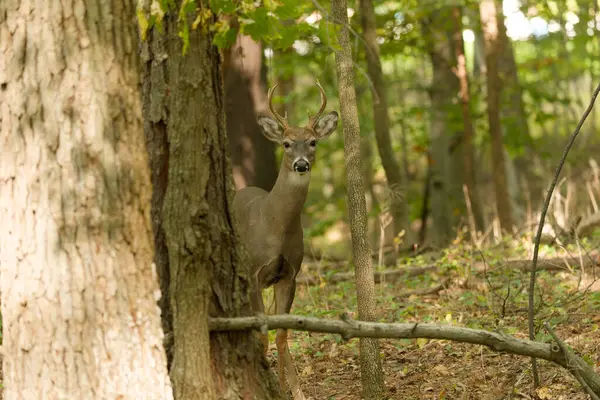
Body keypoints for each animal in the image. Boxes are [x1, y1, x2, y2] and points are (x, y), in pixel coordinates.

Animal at [233, 80, 338, 396]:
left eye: (313, 142)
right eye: (286, 143)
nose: (301, 165)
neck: (276, 227)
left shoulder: (290, 274)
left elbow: (281, 335)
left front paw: (288, 390)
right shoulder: (254, 271)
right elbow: (264, 335)